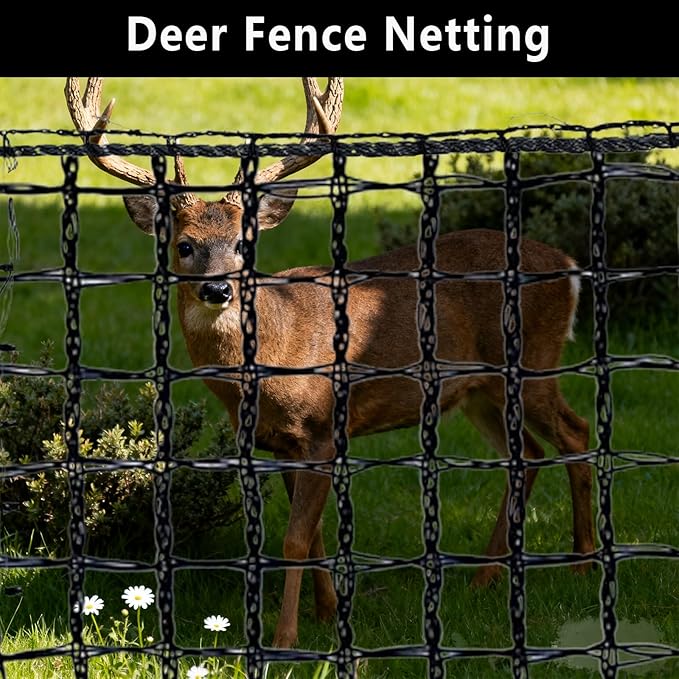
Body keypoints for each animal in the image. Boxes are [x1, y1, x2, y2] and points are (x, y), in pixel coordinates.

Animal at [65, 77, 595, 648]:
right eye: (184, 245)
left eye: (243, 244)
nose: (217, 289)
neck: (270, 360)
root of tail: (569, 266)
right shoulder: (279, 444)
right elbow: (315, 534)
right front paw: (327, 610)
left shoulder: (320, 429)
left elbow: (296, 539)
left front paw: (285, 639)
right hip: (478, 390)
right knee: (528, 455)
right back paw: (486, 576)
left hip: (533, 360)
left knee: (575, 433)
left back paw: (583, 564)